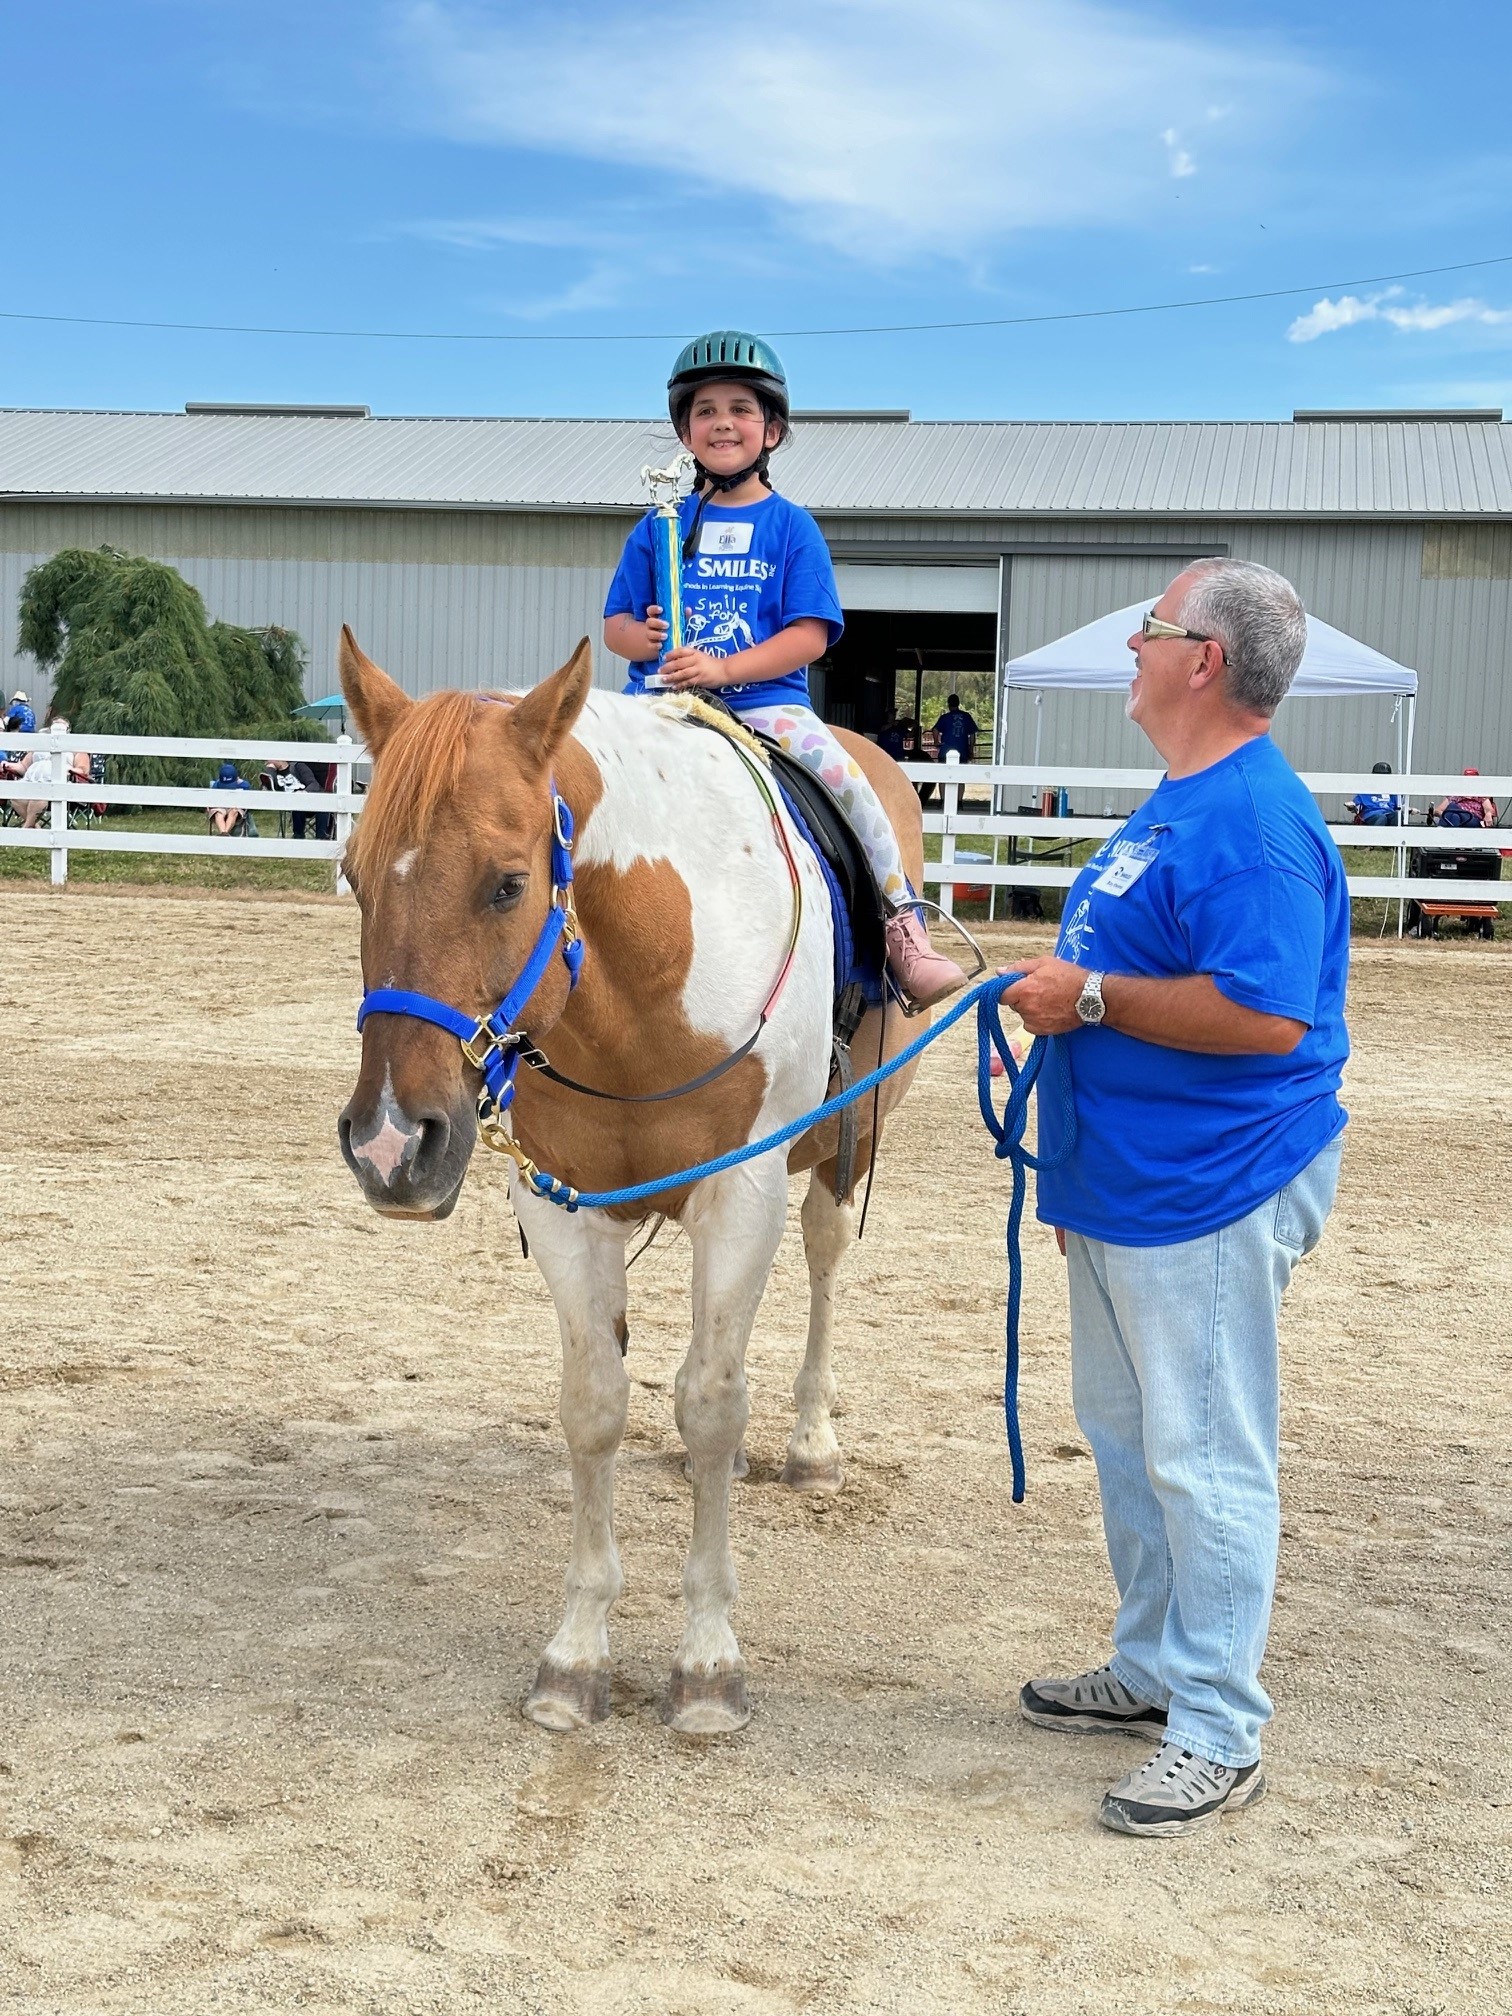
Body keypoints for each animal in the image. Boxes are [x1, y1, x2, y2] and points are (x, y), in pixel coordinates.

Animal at [336, 628, 928, 1736]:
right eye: (351, 876)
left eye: (507, 883)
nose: (391, 1144)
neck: (649, 974)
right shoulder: (562, 1207)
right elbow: (596, 1406)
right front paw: (574, 1656)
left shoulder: (741, 1199)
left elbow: (712, 1401)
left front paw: (707, 1664)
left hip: (845, 1147)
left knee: (823, 1270)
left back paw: (811, 1442)